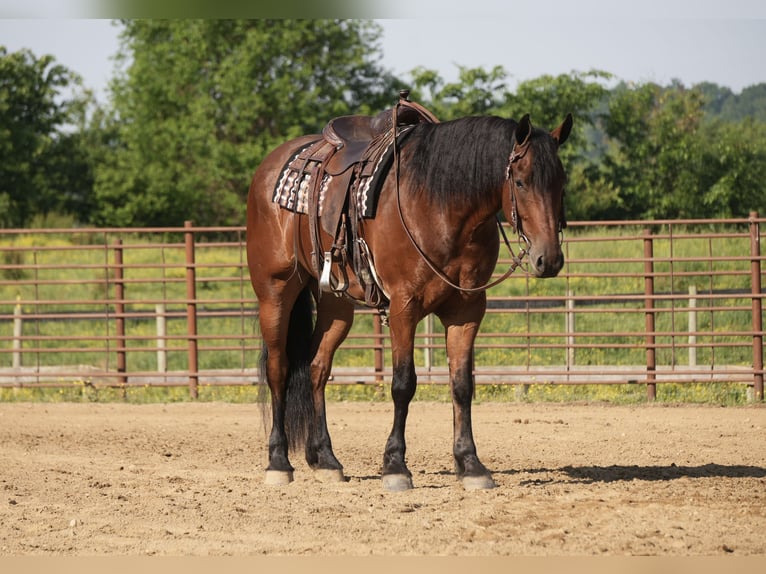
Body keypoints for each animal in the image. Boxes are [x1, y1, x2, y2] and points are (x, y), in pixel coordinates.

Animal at [246, 97, 572, 491]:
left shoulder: (467, 311)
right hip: (275, 291)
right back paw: (278, 461)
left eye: (561, 183)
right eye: (521, 182)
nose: (549, 258)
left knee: (316, 367)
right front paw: (395, 466)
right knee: (278, 369)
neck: (441, 207)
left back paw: (324, 458)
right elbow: (403, 384)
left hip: (336, 304)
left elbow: (462, 385)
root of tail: (272, 165)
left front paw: (470, 464)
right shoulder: (404, 308)